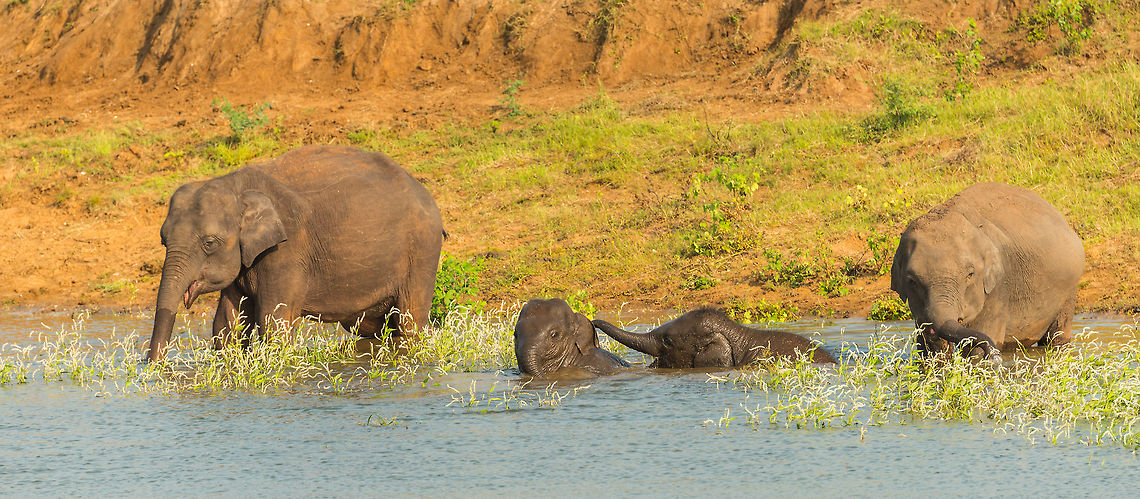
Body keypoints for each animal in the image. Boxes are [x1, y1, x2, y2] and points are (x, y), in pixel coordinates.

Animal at [145, 145, 444, 361]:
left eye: (209, 243)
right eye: (163, 240)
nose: (153, 365)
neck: (237, 186)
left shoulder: (286, 251)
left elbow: (274, 323)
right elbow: (227, 325)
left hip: (422, 250)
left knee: (410, 321)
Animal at [890, 182, 1084, 358]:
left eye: (970, 275)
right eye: (912, 281)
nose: (993, 355)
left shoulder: (998, 289)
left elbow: (976, 346)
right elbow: (931, 352)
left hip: (1068, 290)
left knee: (1056, 336)